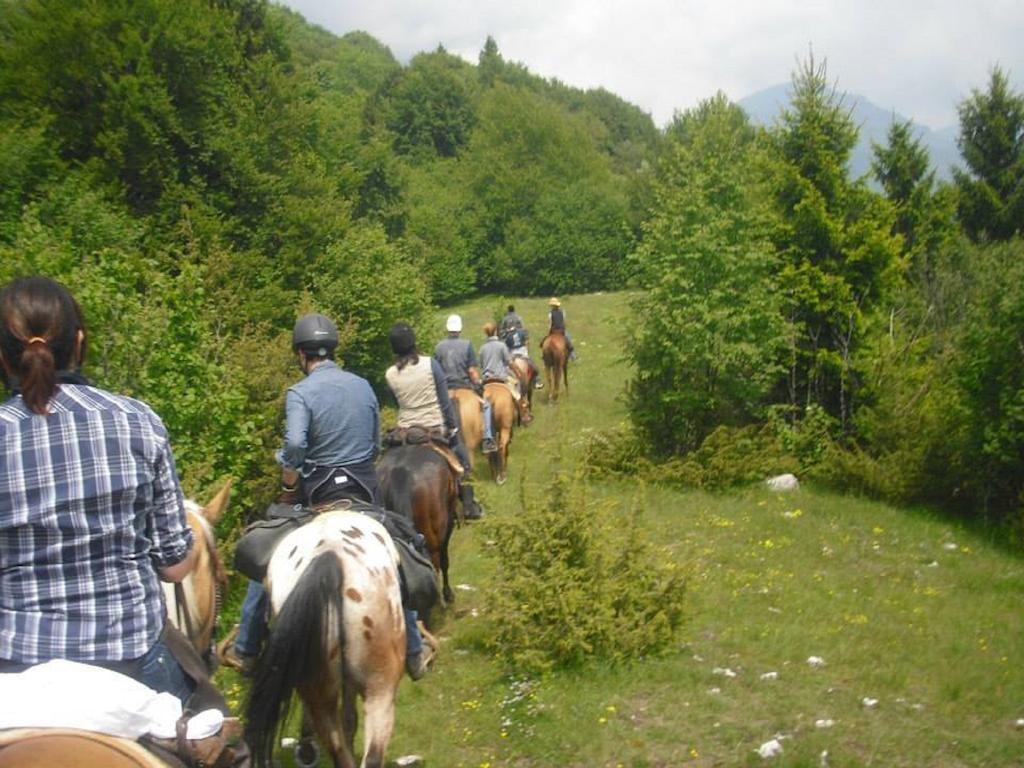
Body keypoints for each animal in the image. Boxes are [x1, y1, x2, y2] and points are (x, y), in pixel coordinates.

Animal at [376, 444, 456, 606]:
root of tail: (400, 472)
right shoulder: (448, 524)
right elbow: (444, 561)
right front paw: (448, 594)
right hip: (434, 532)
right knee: (435, 562)